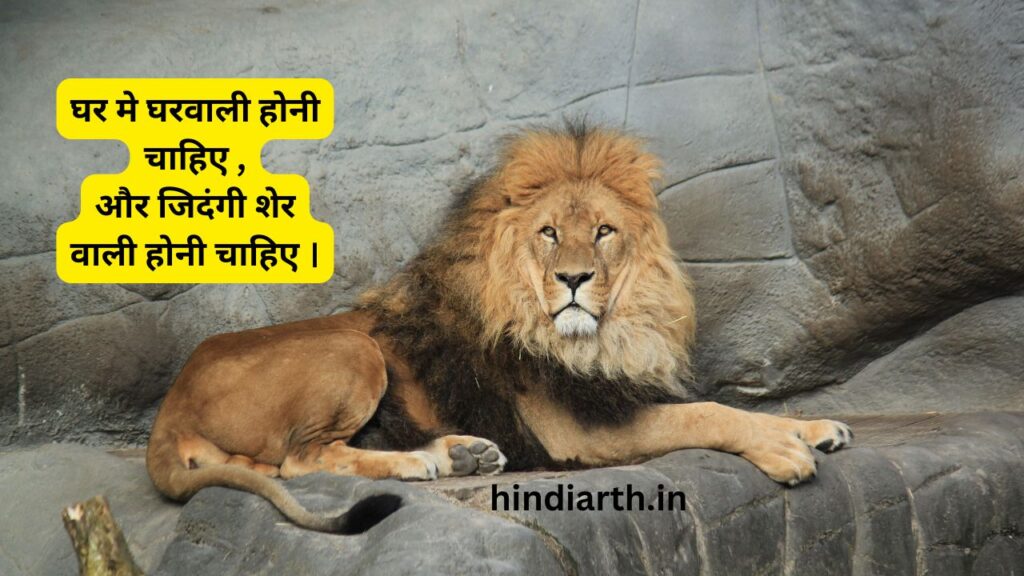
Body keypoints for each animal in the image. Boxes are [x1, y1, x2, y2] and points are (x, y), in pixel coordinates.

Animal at [146, 122, 852, 533]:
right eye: (549, 233)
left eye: (604, 231)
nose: (574, 279)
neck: (605, 337)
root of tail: (169, 408)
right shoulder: (580, 429)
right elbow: (708, 413)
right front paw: (786, 452)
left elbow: (738, 408)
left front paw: (814, 426)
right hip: (352, 348)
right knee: (299, 460)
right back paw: (422, 462)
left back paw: (461, 452)